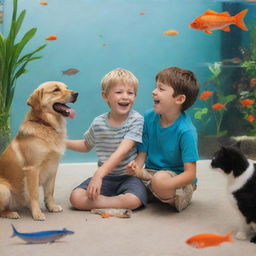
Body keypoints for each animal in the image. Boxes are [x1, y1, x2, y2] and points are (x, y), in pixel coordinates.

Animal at [0, 81, 78, 220]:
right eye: (56, 90)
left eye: (67, 88)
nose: (76, 94)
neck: (45, 124)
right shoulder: (32, 169)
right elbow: (35, 194)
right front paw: (37, 213)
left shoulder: (53, 167)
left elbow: (50, 191)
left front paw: (52, 206)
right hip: (3, 189)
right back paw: (11, 213)